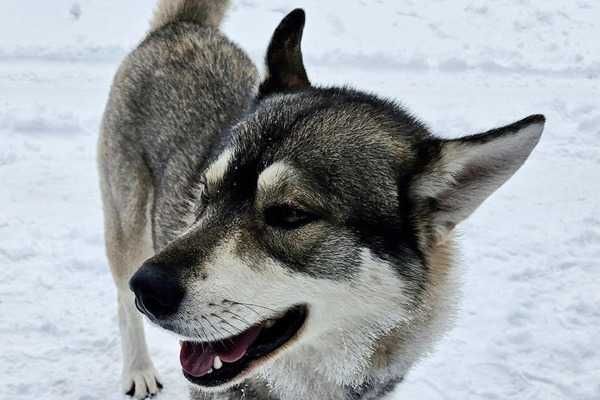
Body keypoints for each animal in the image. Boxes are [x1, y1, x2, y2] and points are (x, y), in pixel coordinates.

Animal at [97, 1, 544, 398]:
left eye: (290, 214)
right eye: (206, 194)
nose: (147, 288)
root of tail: (184, 27)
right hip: (126, 231)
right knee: (120, 302)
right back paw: (138, 369)